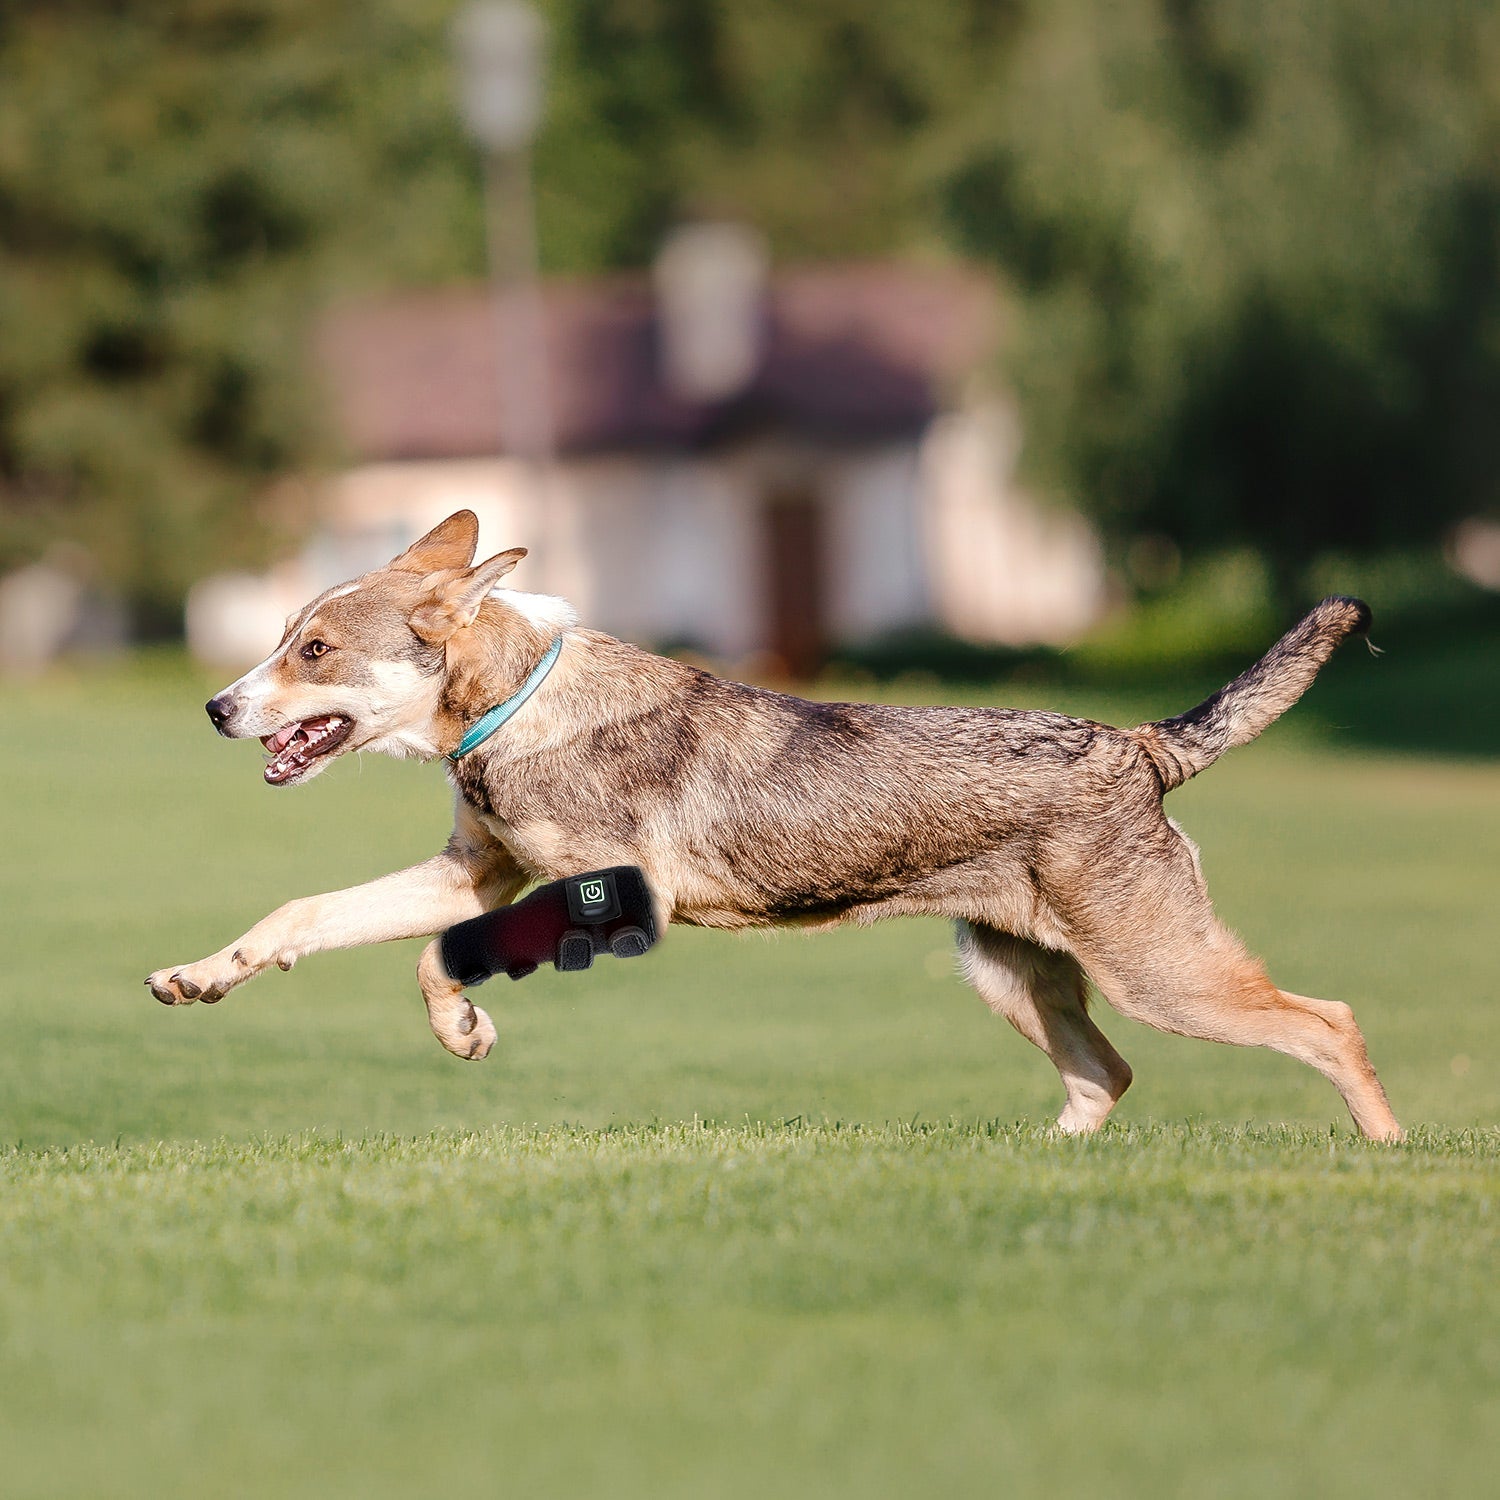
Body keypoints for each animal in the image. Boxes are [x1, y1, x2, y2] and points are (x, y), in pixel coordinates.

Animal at [146, 510, 1398, 1140]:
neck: (513, 708)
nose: (213, 708)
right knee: (1107, 1079)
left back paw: (1386, 1161)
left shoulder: (599, 893)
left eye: (314, 649)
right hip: (1013, 973)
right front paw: (196, 978)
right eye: (283, 636)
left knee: (1327, 1022)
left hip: (1154, 967)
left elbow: (429, 957)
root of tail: (1142, 746)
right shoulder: (478, 871)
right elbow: (307, 914)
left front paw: (465, 1032)